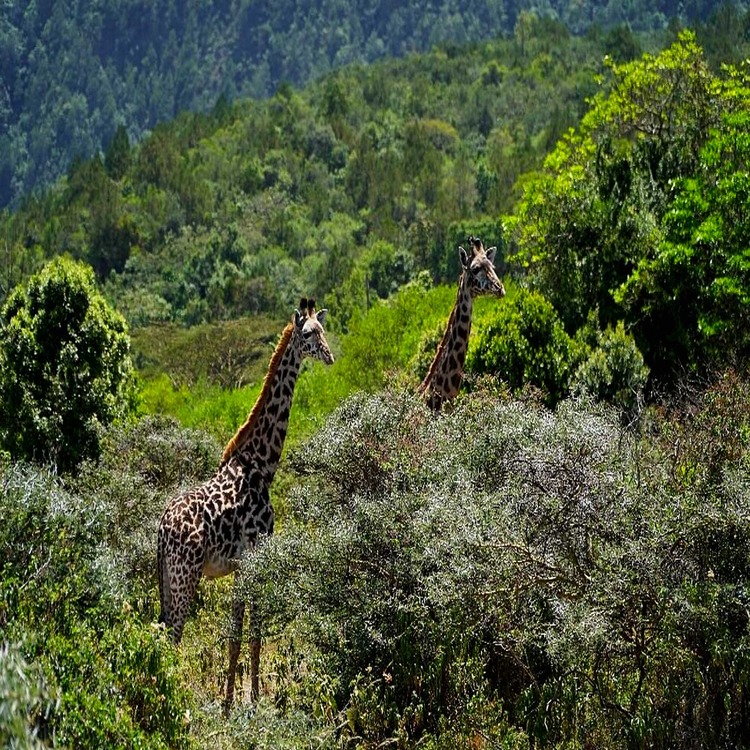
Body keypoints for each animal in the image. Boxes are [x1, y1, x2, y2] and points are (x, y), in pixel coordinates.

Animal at [159, 296, 334, 712]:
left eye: (323, 330)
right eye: (308, 335)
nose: (330, 356)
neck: (261, 465)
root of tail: (160, 529)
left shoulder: (242, 564)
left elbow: (240, 636)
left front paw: (235, 702)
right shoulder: (256, 555)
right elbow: (249, 633)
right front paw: (247, 703)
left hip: (169, 581)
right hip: (185, 576)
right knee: (172, 636)